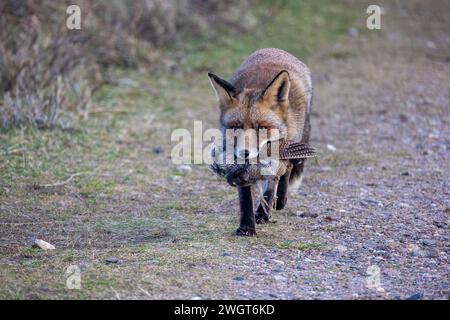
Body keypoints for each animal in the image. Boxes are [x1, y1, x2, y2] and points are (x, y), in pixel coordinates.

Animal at [208, 47, 312, 236]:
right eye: (235, 127)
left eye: (262, 127)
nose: (244, 153)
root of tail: (274, 49)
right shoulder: (240, 169)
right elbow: (245, 197)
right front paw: (247, 226)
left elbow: (272, 185)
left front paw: (264, 213)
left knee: (286, 172)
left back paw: (279, 201)